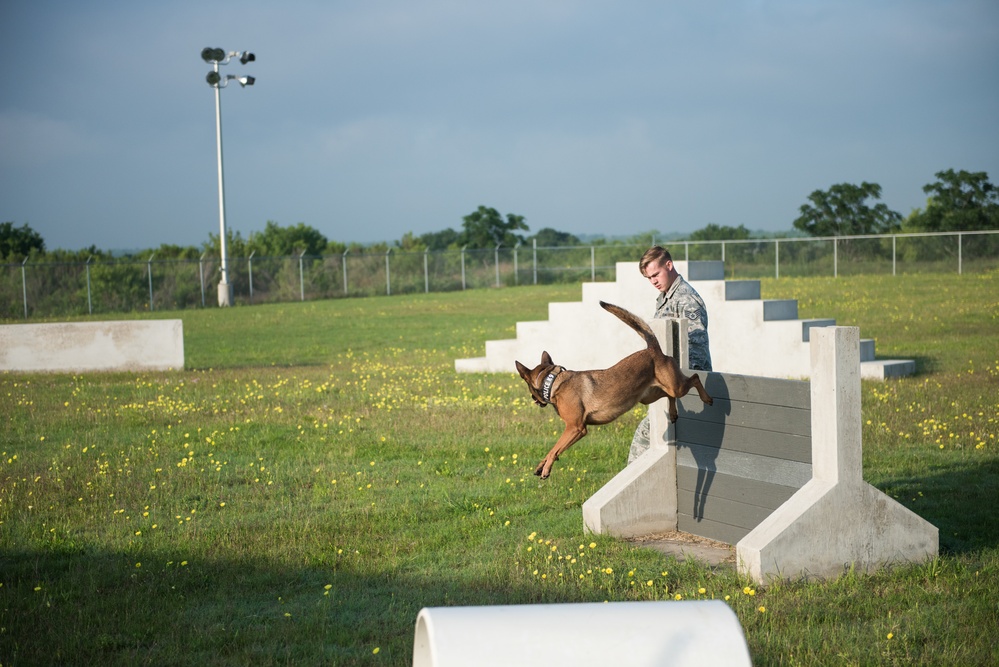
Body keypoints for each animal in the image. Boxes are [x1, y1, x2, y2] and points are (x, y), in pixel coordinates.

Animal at [516, 300, 712, 478]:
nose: (533, 400)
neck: (553, 381)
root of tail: (653, 349)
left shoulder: (575, 428)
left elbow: (554, 448)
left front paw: (547, 467)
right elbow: (554, 449)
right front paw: (542, 465)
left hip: (675, 386)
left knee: (695, 378)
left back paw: (707, 398)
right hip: (650, 396)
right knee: (670, 395)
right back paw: (673, 413)